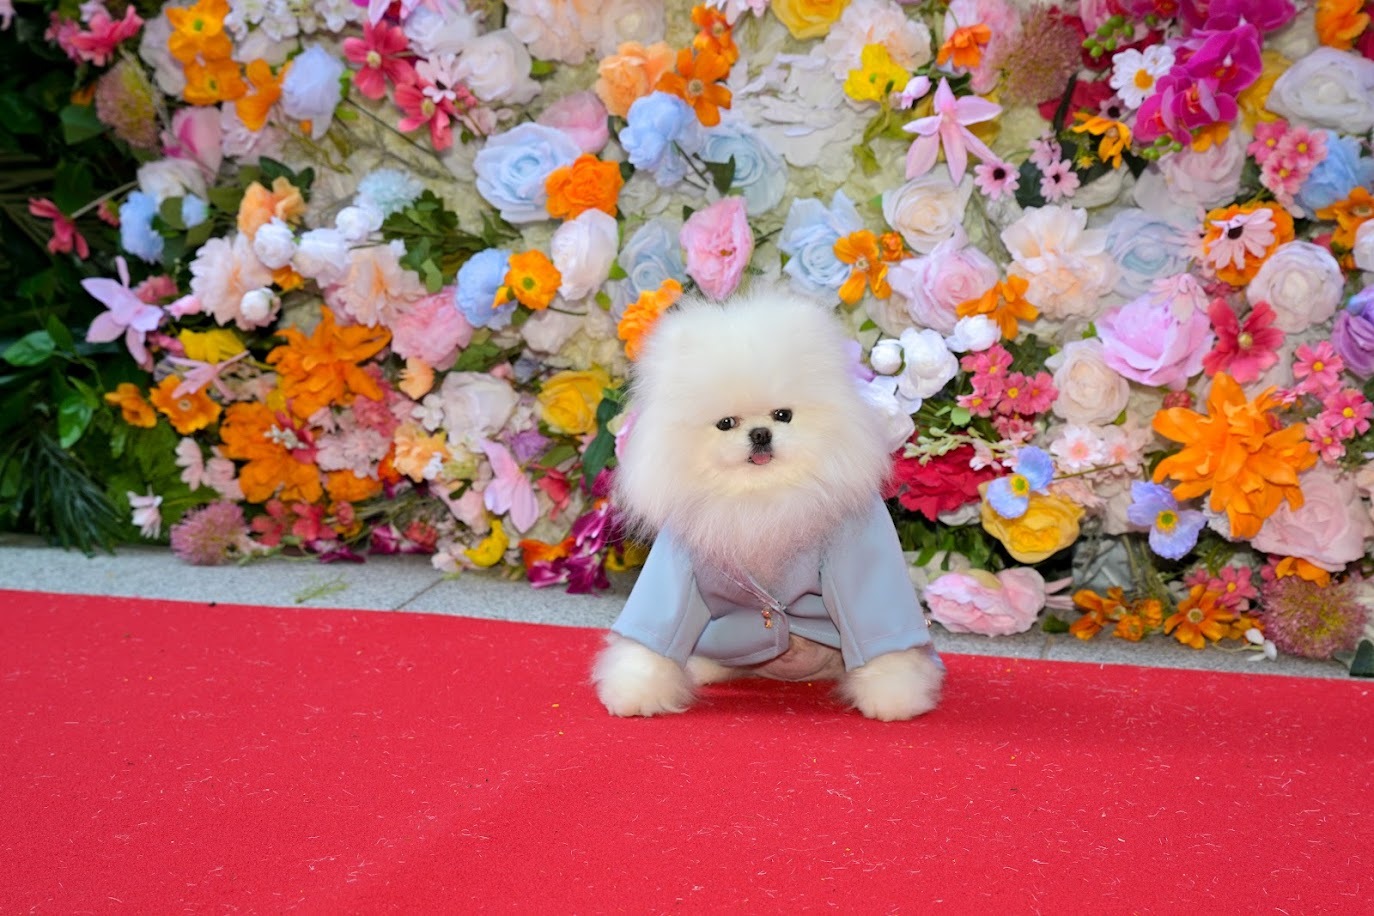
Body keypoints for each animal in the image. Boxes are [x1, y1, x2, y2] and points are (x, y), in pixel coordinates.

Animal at [590, 287, 945, 725]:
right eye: (726, 423)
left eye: (783, 415)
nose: (760, 434)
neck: (762, 498)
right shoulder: (678, 571)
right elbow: (655, 637)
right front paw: (635, 693)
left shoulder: (857, 558)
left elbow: (878, 633)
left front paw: (894, 697)